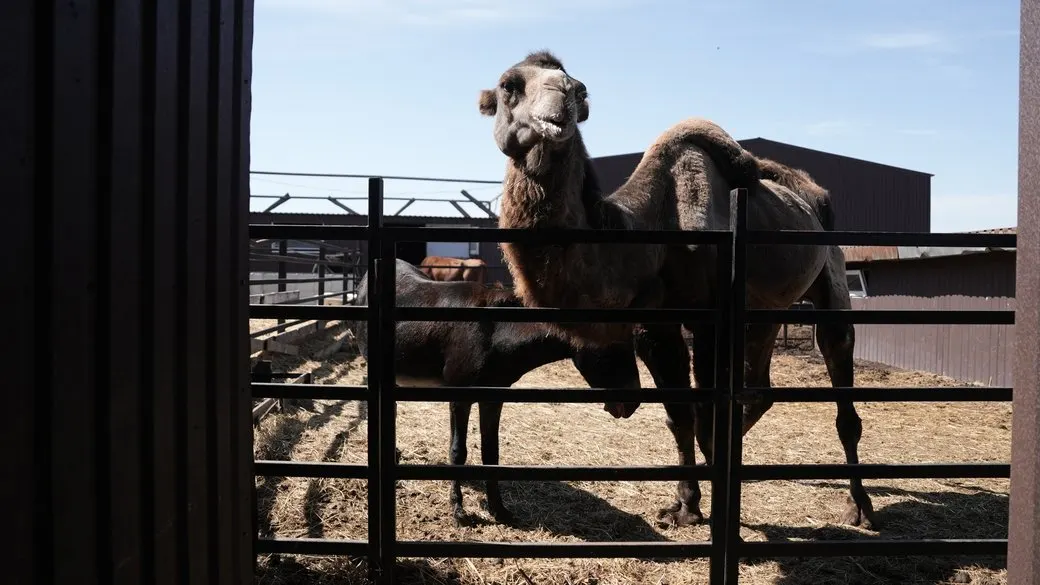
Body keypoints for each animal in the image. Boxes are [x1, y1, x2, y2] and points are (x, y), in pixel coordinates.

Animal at [351, 258, 639, 524]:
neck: (495, 334)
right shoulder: (460, 396)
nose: (633, 403)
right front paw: (458, 510)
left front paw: (499, 509)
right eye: (612, 345)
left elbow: (492, 453)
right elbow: (458, 451)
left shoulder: (494, 397)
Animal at [475, 51, 875, 530]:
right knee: (758, 389)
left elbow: (704, 414)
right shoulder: (654, 326)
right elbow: (681, 416)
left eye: (577, 87)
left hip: (831, 273)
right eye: (509, 85)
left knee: (837, 365)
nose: (565, 99)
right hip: (765, 311)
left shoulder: (708, 322)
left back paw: (860, 506)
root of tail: (815, 195)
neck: (652, 236)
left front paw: (710, 505)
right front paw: (686, 505)